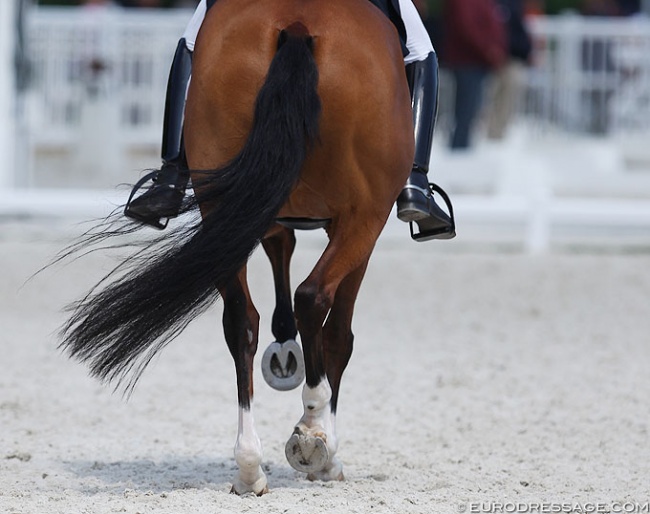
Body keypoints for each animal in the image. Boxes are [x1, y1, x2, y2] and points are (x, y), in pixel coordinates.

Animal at [62, 0, 416, 492]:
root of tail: (300, 22)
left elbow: (280, 251)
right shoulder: (361, 227)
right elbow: (339, 337)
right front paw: (327, 456)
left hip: (224, 201)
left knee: (241, 322)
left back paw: (249, 465)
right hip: (364, 217)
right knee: (313, 298)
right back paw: (311, 432)